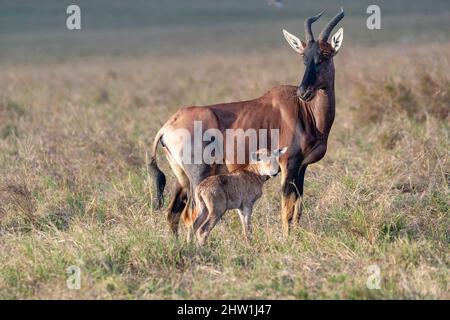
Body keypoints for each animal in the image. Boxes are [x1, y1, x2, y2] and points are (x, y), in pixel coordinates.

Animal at [150, 7, 344, 238]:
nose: (304, 92)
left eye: (325, 54)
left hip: (182, 178)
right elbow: (287, 209)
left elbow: (297, 208)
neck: (304, 111)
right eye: (303, 57)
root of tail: (168, 125)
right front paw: (287, 240)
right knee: (190, 216)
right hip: (199, 175)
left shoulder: (302, 167)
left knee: (173, 214)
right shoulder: (288, 164)